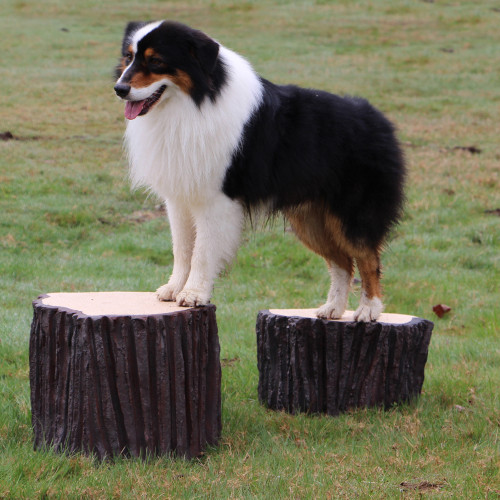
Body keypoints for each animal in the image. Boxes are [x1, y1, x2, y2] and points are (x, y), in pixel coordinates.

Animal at [114, 20, 406, 320]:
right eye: (128, 57)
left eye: (156, 61)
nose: (119, 88)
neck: (194, 103)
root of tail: (378, 119)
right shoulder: (180, 199)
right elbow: (182, 249)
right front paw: (174, 289)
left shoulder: (215, 200)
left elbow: (203, 252)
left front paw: (194, 294)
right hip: (311, 220)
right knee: (343, 262)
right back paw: (333, 308)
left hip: (353, 215)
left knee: (368, 259)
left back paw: (369, 309)